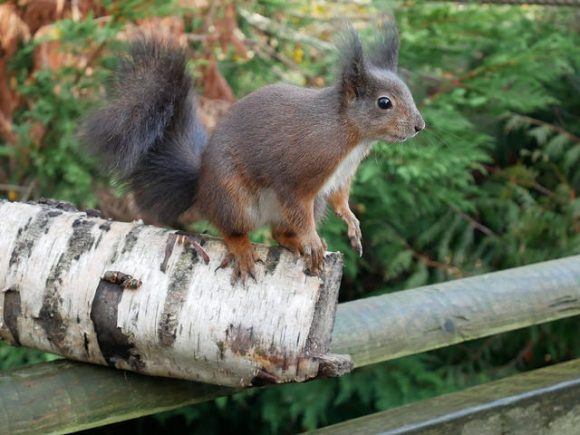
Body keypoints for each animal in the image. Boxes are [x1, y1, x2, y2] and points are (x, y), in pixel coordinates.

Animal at [84, 23, 424, 282]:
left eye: (408, 92)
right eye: (384, 102)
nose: (420, 127)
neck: (351, 137)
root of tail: (201, 187)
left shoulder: (339, 178)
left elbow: (340, 200)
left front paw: (352, 224)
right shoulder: (298, 175)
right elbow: (296, 202)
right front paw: (313, 238)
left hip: (307, 207)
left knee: (278, 232)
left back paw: (294, 242)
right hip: (234, 198)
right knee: (230, 228)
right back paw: (247, 249)